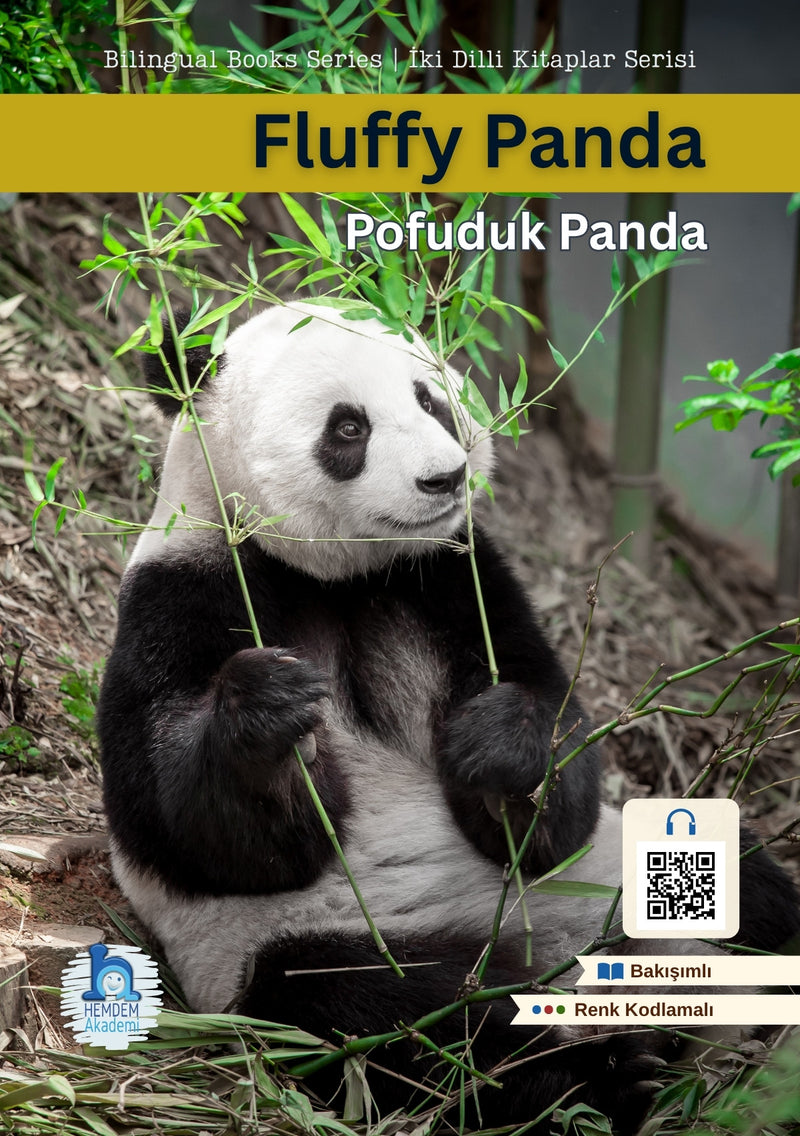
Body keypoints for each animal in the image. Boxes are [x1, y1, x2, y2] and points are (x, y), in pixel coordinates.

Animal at [98, 304, 800, 1134]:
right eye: (348, 428)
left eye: (430, 399)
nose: (445, 476)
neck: (337, 576)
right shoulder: (182, 592)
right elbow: (192, 831)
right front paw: (270, 713)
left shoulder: (455, 577)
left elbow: (551, 762)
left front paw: (499, 745)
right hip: (296, 945)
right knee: (385, 1013)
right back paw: (601, 1078)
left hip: (629, 870)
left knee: (755, 892)